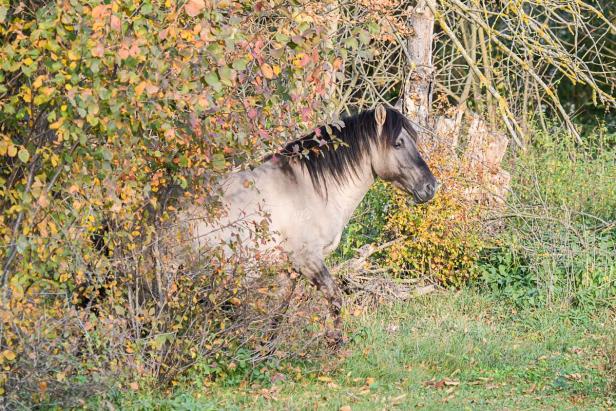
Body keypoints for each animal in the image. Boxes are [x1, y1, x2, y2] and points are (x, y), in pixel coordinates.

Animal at [190, 104, 436, 342]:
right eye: (397, 143)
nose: (431, 186)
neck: (306, 189)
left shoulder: (288, 269)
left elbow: (278, 312)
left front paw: (266, 349)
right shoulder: (309, 260)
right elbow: (335, 299)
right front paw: (336, 343)